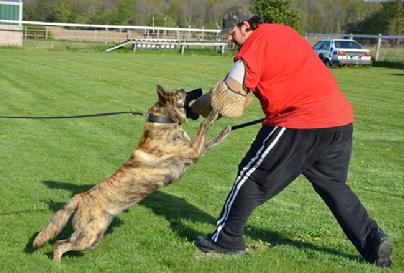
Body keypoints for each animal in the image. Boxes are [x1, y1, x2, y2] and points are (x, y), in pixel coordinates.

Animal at [32, 84, 230, 260]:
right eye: (183, 92)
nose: (201, 89)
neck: (163, 122)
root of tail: (81, 197)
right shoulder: (193, 151)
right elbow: (204, 126)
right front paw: (215, 111)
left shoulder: (196, 152)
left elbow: (211, 141)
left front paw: (226, 130)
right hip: (89, 235)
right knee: (59, 245)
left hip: (92, 236)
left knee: (62, 243)